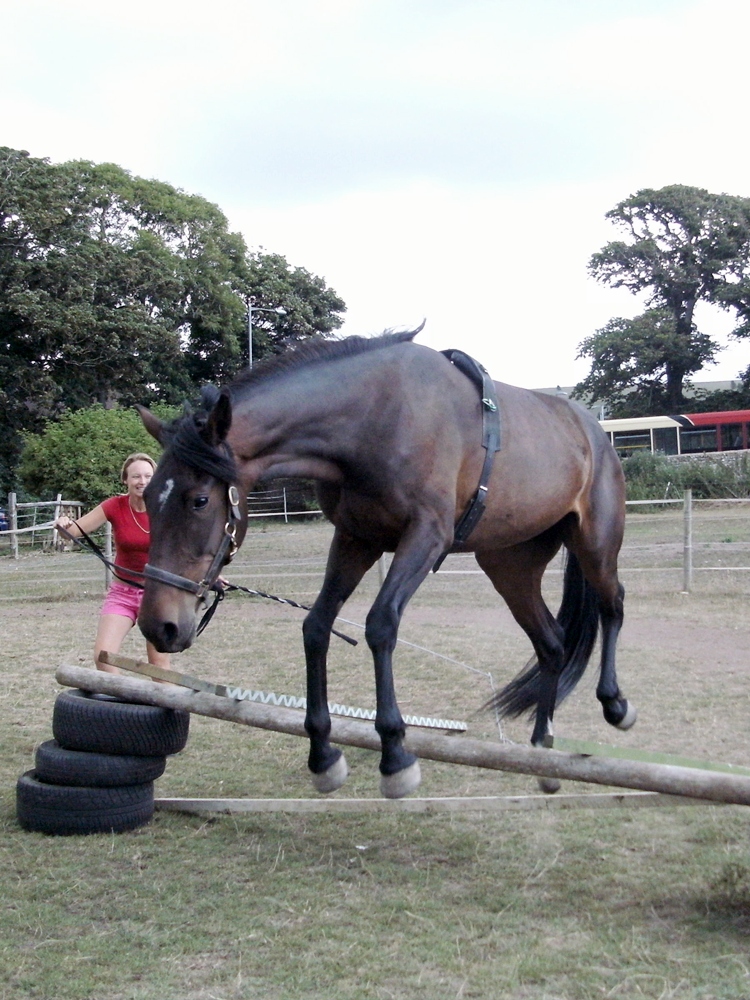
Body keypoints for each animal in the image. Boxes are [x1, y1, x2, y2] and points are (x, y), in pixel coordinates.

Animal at [136, 329, 635, 799]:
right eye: (147, 496)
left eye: (199, 500)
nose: (159, 626)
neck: (374, 419)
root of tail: (593, 432)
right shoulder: (356, 539)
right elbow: (316, 626)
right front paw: (323, 754)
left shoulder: (426, 536)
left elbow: (380, 625)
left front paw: (394, 753)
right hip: (510, 567)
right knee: (552, 644)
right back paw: (543, 751)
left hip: (595, 546)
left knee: (613, 605)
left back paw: (614, 704)